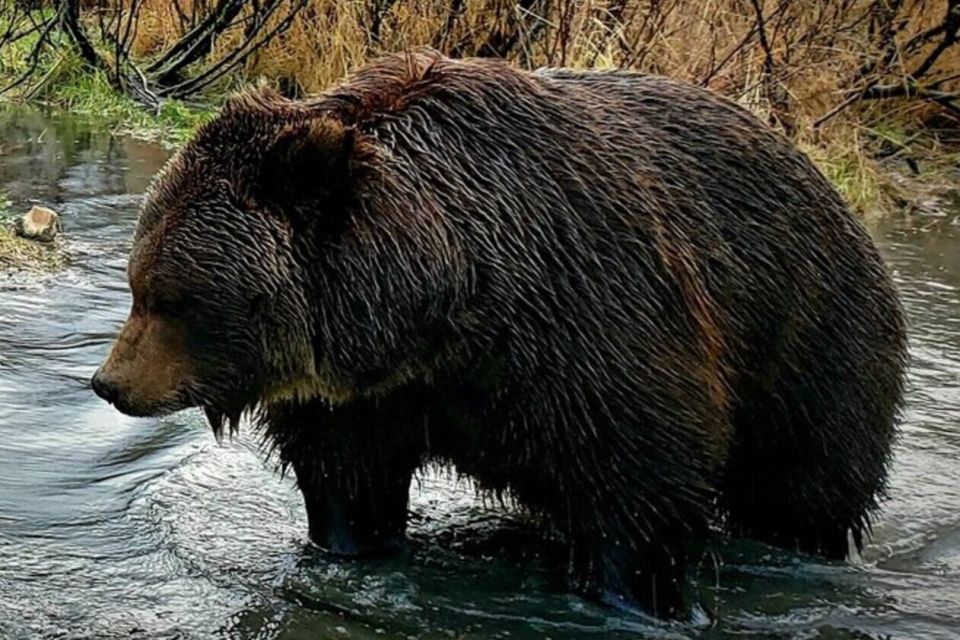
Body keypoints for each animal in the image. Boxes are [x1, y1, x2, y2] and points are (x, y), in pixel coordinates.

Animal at [90, 51, 908, 620]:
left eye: (174, 297)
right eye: (136, 283)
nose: (111, 383)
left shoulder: (593, 321)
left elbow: (639, 479)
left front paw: (636, 596)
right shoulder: (364, 397)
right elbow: (348, 482)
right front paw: (349, 545)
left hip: (812, 342)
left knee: (802, 490)